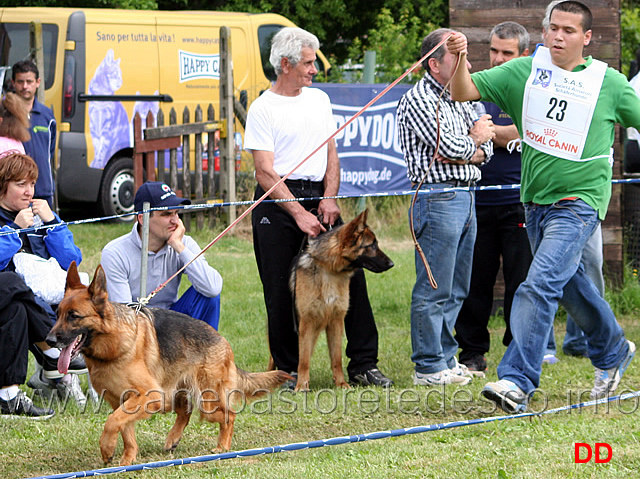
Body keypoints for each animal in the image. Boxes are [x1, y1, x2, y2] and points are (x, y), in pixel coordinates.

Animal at [46, 262, 292, 464]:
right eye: (57, 314)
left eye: (74, 316)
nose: (49, 340)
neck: (113, 344)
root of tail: (222, 340)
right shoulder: (123, 401)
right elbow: (124, 428)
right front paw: (127, 460)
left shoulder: (148, 396)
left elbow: (112, 422)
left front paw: (107, 448)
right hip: (171, 397)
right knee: (187, 411)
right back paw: (174, 438)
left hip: (203, 401)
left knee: (228, 415)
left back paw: (222, 446)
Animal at [292, 212, 392, 392]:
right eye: (372, 245)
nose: (392, 264)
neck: (329, 271)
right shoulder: (307, 323)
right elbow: (303, 361)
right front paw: (302, 386)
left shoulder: (336, 322)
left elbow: (336, 358)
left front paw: (341, 383)